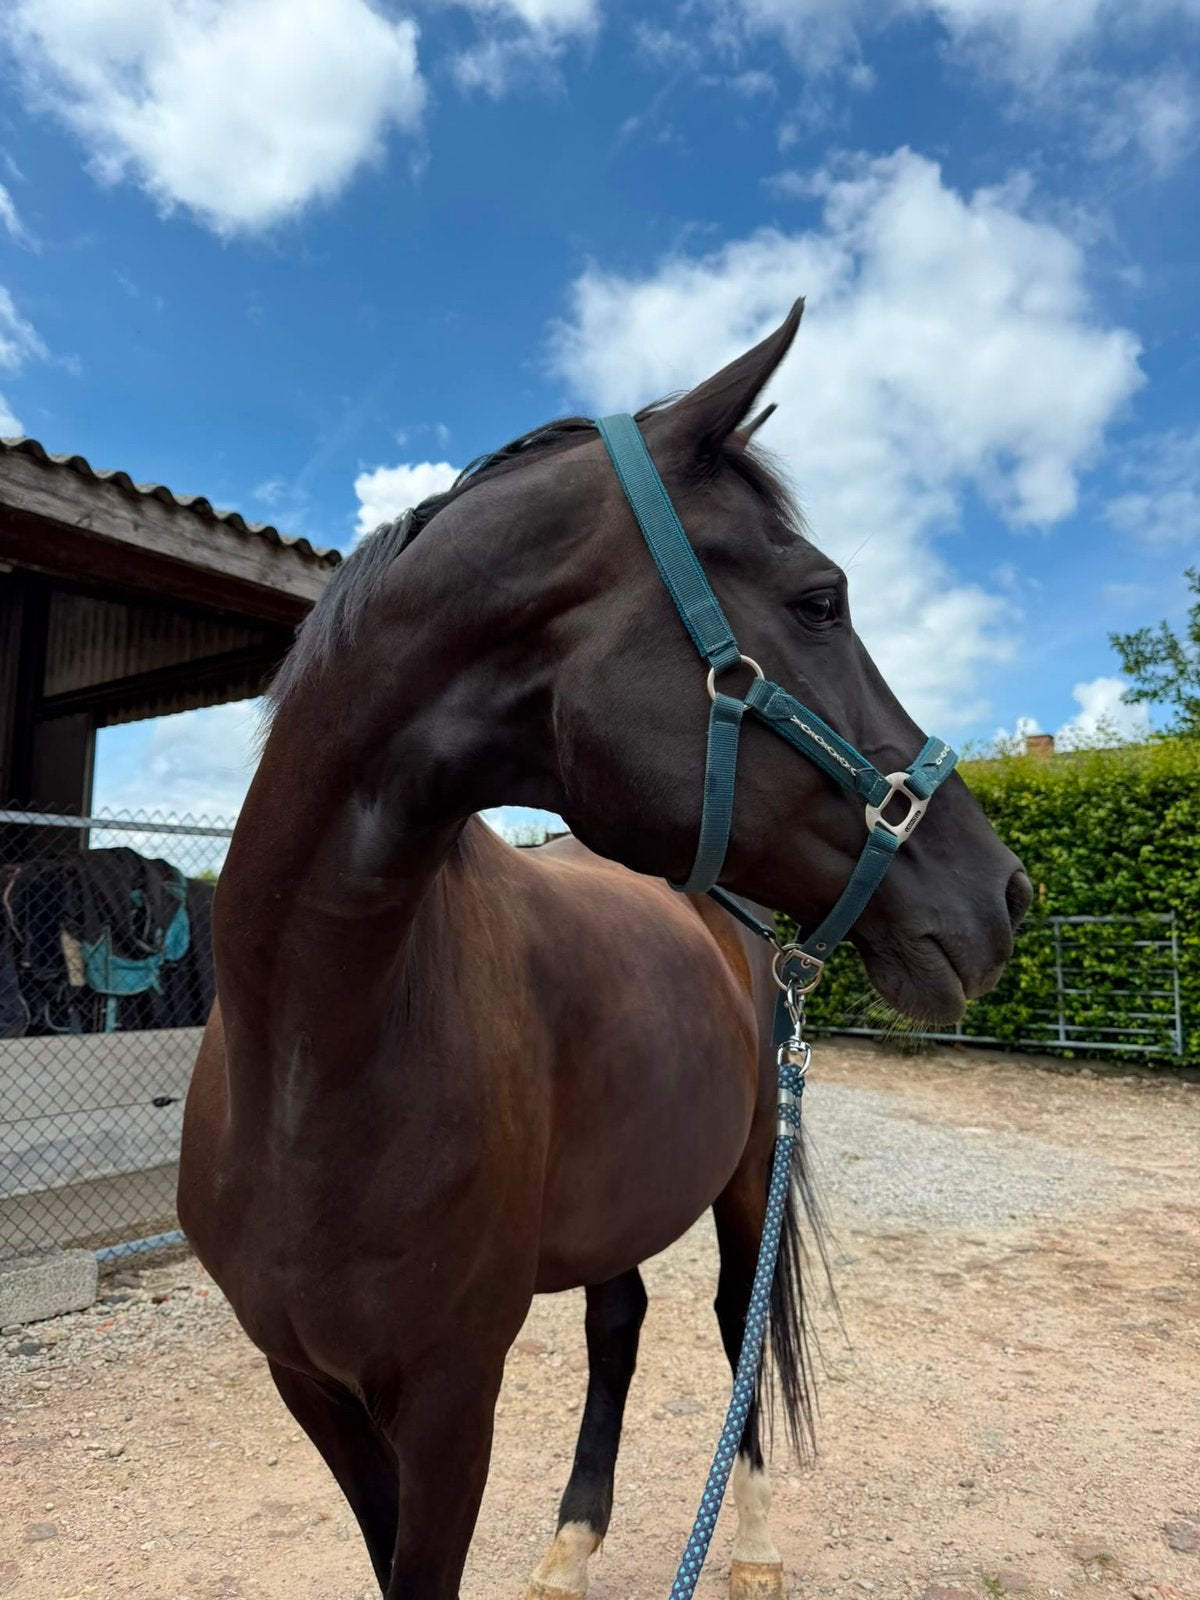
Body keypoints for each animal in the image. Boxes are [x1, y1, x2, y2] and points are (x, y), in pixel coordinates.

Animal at [178, 300, 1029, 1599]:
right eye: (820, 598)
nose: (1007, 892)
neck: (310, 1064)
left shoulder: (449, 1398)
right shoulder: (313, 1388)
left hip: (745, 1171)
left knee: (734, 1322)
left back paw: (751, 1546)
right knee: (617, 1323)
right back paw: (573, 1540)